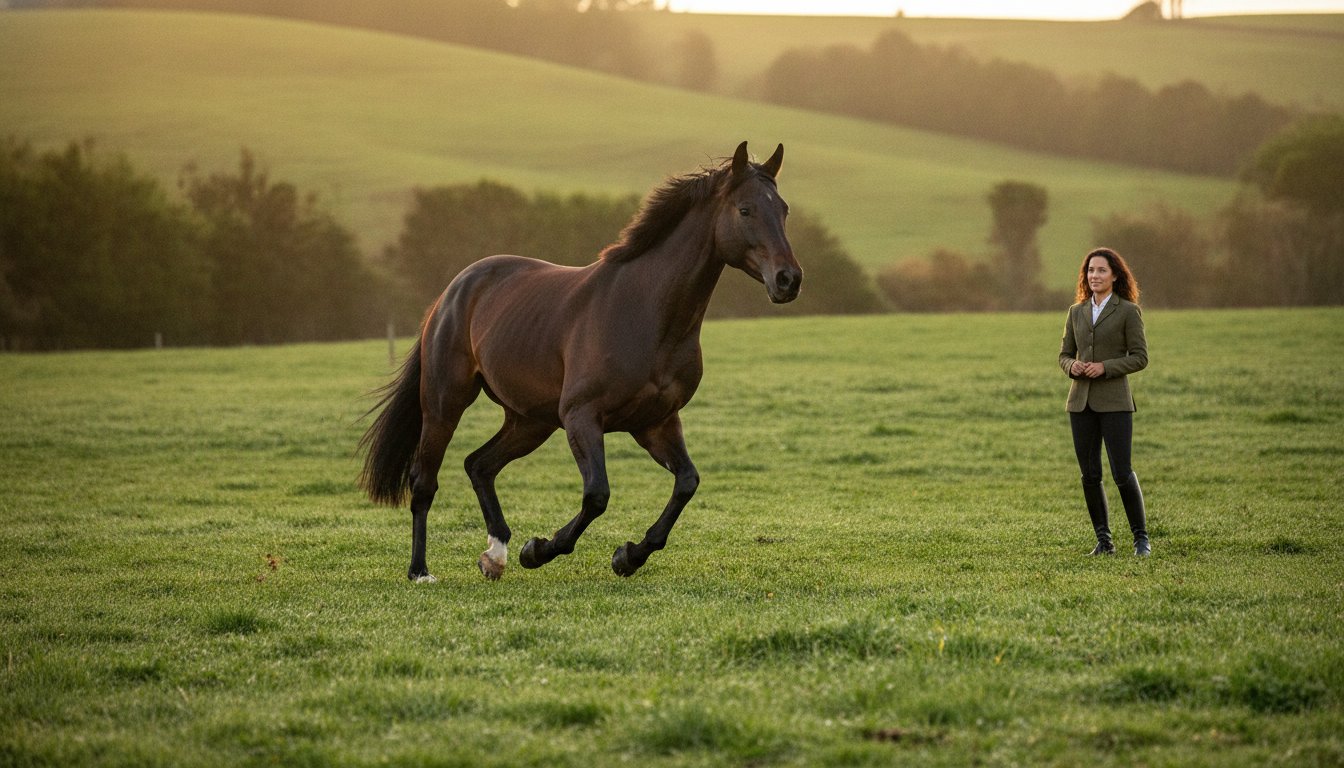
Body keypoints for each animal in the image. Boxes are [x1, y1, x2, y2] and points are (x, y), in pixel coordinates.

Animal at [359, 141, 801, 581]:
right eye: (745, 210)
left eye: (782, 209)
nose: (789, 280)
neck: (645, 311)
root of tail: (453, 290)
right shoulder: (582, 416)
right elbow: (597, 495)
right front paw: (539, 550)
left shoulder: (656, 422)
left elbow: (686, 483)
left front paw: (628, 556)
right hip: (444, 405)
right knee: (424, 482)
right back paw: (421, 570)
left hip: (530, 421)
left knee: (479, 465)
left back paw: (495, 555)